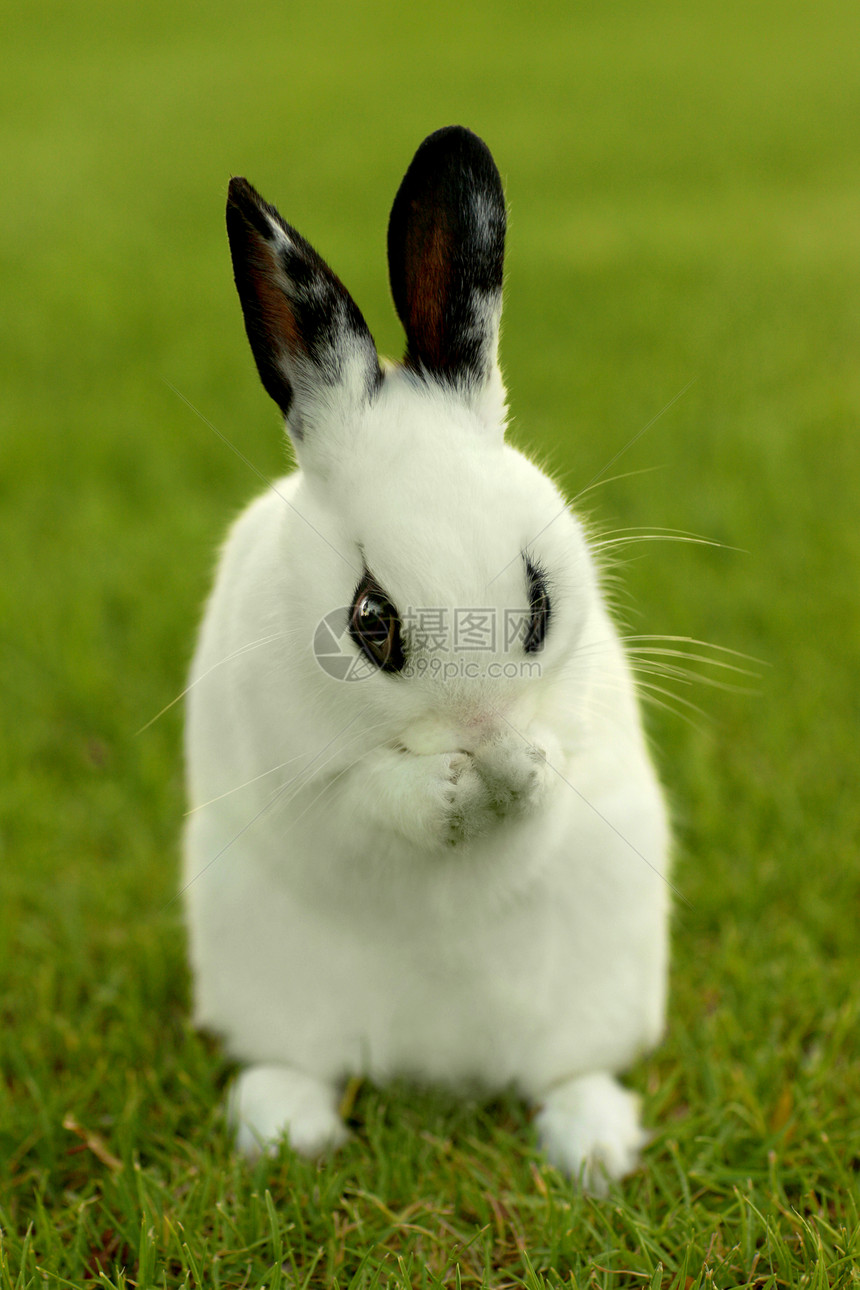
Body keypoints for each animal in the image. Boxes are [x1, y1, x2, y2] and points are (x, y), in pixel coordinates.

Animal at [185, 125, 670, 1191]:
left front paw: (518, 771)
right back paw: (288, 1129)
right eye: (371, 621)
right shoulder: (309, 785)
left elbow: (544, 799)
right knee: (296, 1062)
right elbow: (370, 807)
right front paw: (449, 788)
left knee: (564, 1072)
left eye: (538, 600)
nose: (483, 736)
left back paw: (595, 1149)